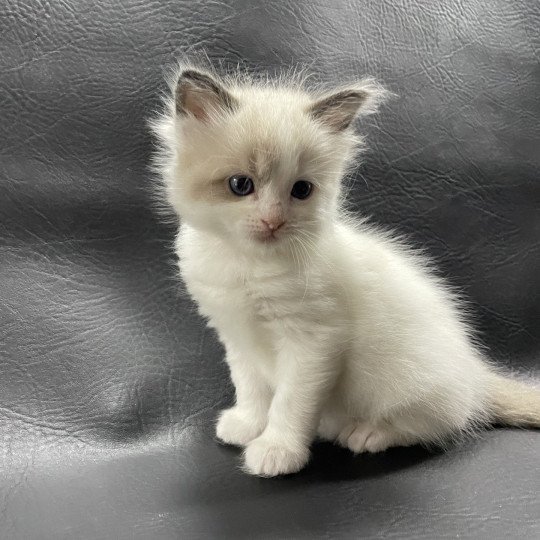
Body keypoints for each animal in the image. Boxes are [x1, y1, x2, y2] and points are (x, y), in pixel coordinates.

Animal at [151, 62, 540, 476]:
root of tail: (475, 370)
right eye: (241, 185)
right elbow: (251, 387)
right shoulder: (236, 336)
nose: (274, 222)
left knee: (437, 422)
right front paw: (248, 423)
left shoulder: (314, 341)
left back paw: (367, 433)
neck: (246, 264)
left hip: (406, 381)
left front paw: (276, 450)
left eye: (301, 190)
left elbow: (289, 402)